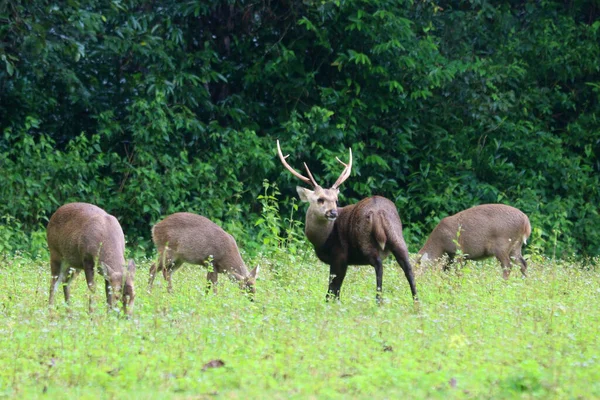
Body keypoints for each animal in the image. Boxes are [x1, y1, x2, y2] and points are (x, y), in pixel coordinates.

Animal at [276, 139, 418, 302]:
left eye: (336, 200)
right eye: (320, 199)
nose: (333, 212)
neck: (322, 239)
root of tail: (379, 212)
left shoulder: (339, 255)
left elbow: (333, 289)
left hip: (365, 240)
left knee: (379, 266)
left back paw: (379, 301)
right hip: (397, 235)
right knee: (408, 267)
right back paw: (416, 302)